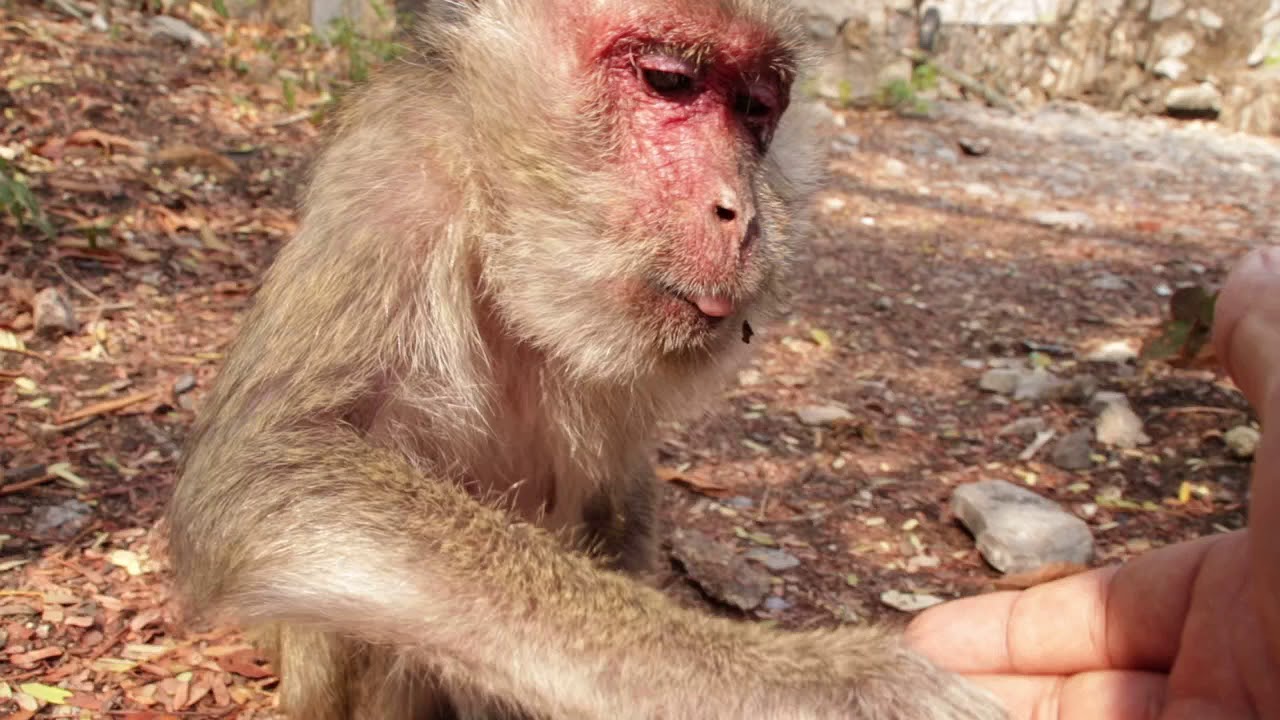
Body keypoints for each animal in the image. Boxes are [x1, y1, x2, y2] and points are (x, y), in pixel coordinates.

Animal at [167, 1, 1007, 718]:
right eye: (670, 80)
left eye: (756, 108)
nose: (741, 213)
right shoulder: (396, 182)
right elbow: (271, 471)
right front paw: (808, 682)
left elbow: (618, 493)